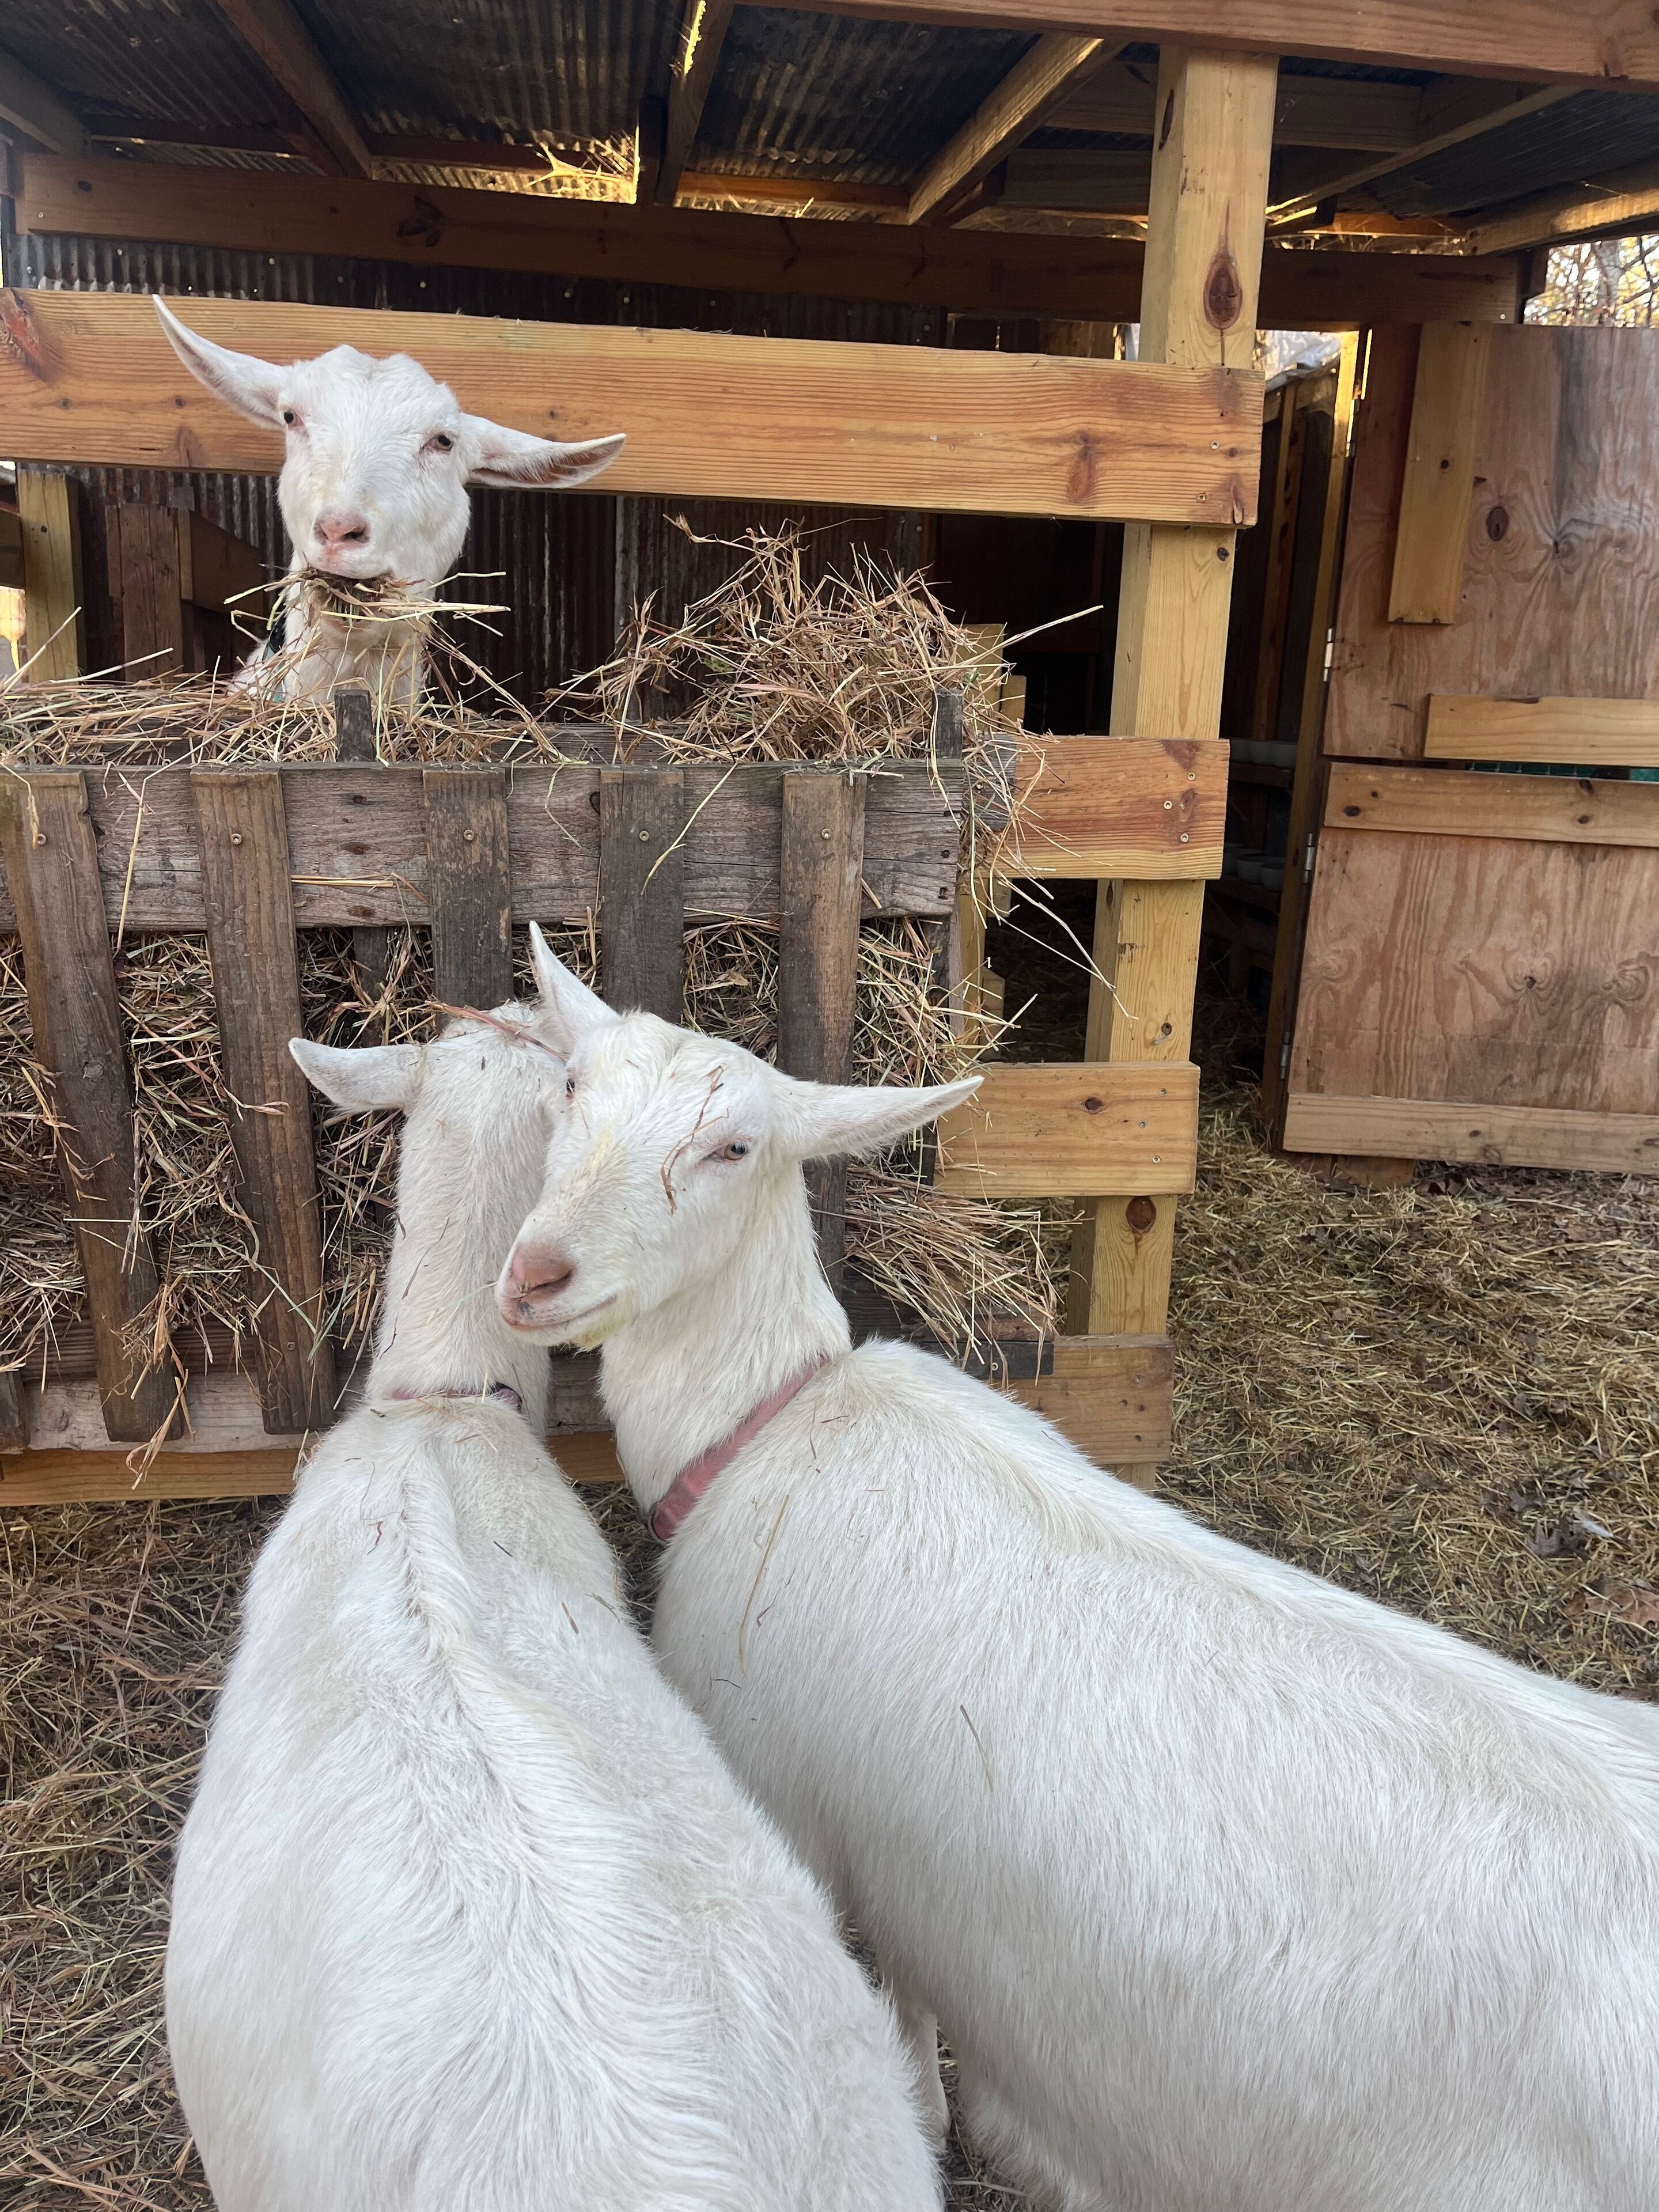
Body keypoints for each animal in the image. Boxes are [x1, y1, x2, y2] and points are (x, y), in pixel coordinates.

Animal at [498, 931, 1659, 2212]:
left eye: (733, 1148)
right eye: (569, 1090)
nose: (536, 1274)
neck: (766, 1424)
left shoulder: (820, 1827)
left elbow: (908, 2013)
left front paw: (934, 2117)